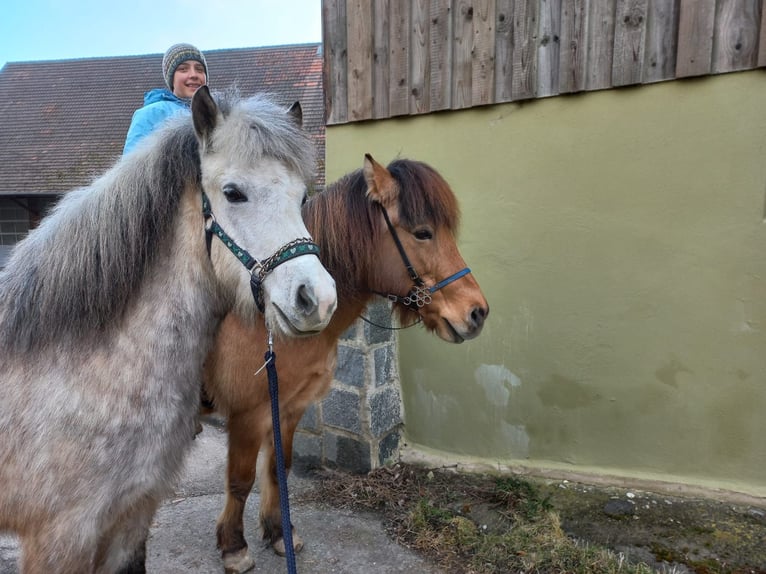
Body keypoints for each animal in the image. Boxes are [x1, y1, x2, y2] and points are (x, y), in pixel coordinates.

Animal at [202, 155, 492, 572]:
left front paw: (279, 533)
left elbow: (277, 468)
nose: (477, 312)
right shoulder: (247, 414)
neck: (269, 316)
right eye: (423, 233)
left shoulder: (289, 407)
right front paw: (233, 546)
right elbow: (240, 481)